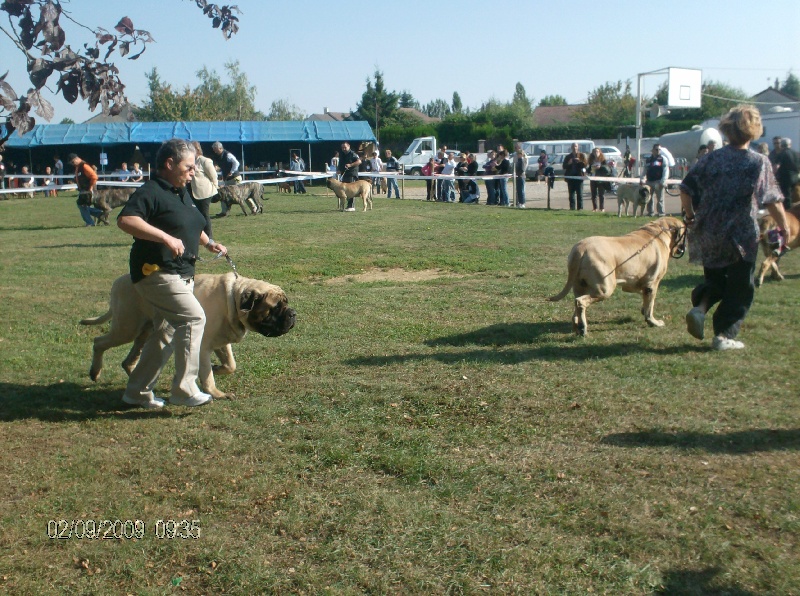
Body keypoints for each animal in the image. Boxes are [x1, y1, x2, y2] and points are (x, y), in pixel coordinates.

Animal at [80, 272, 296, 398]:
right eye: (275, 308)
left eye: (285, 303)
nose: (293, 313)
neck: (233, 300)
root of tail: (119, 280)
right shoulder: (203, 346)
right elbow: (207, 374)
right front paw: (216, 392)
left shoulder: (221, 341)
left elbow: (230, 364)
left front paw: (218, 368)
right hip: (126, 327)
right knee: (99, 342)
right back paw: (95, 372)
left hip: (144, 331)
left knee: (129, 359)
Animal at [552, 217, 688, 336]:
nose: (684, 247)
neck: (660, 231)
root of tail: (581, 249)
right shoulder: (652, 284)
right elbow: (650, 305)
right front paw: (653, 322)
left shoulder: (637, 283)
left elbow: (644, 297)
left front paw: (643, 310)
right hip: (605, 289)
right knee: (580, 302)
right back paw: (582, 328)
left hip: (579, 286)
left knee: (576, 306)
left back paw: (577, 326)